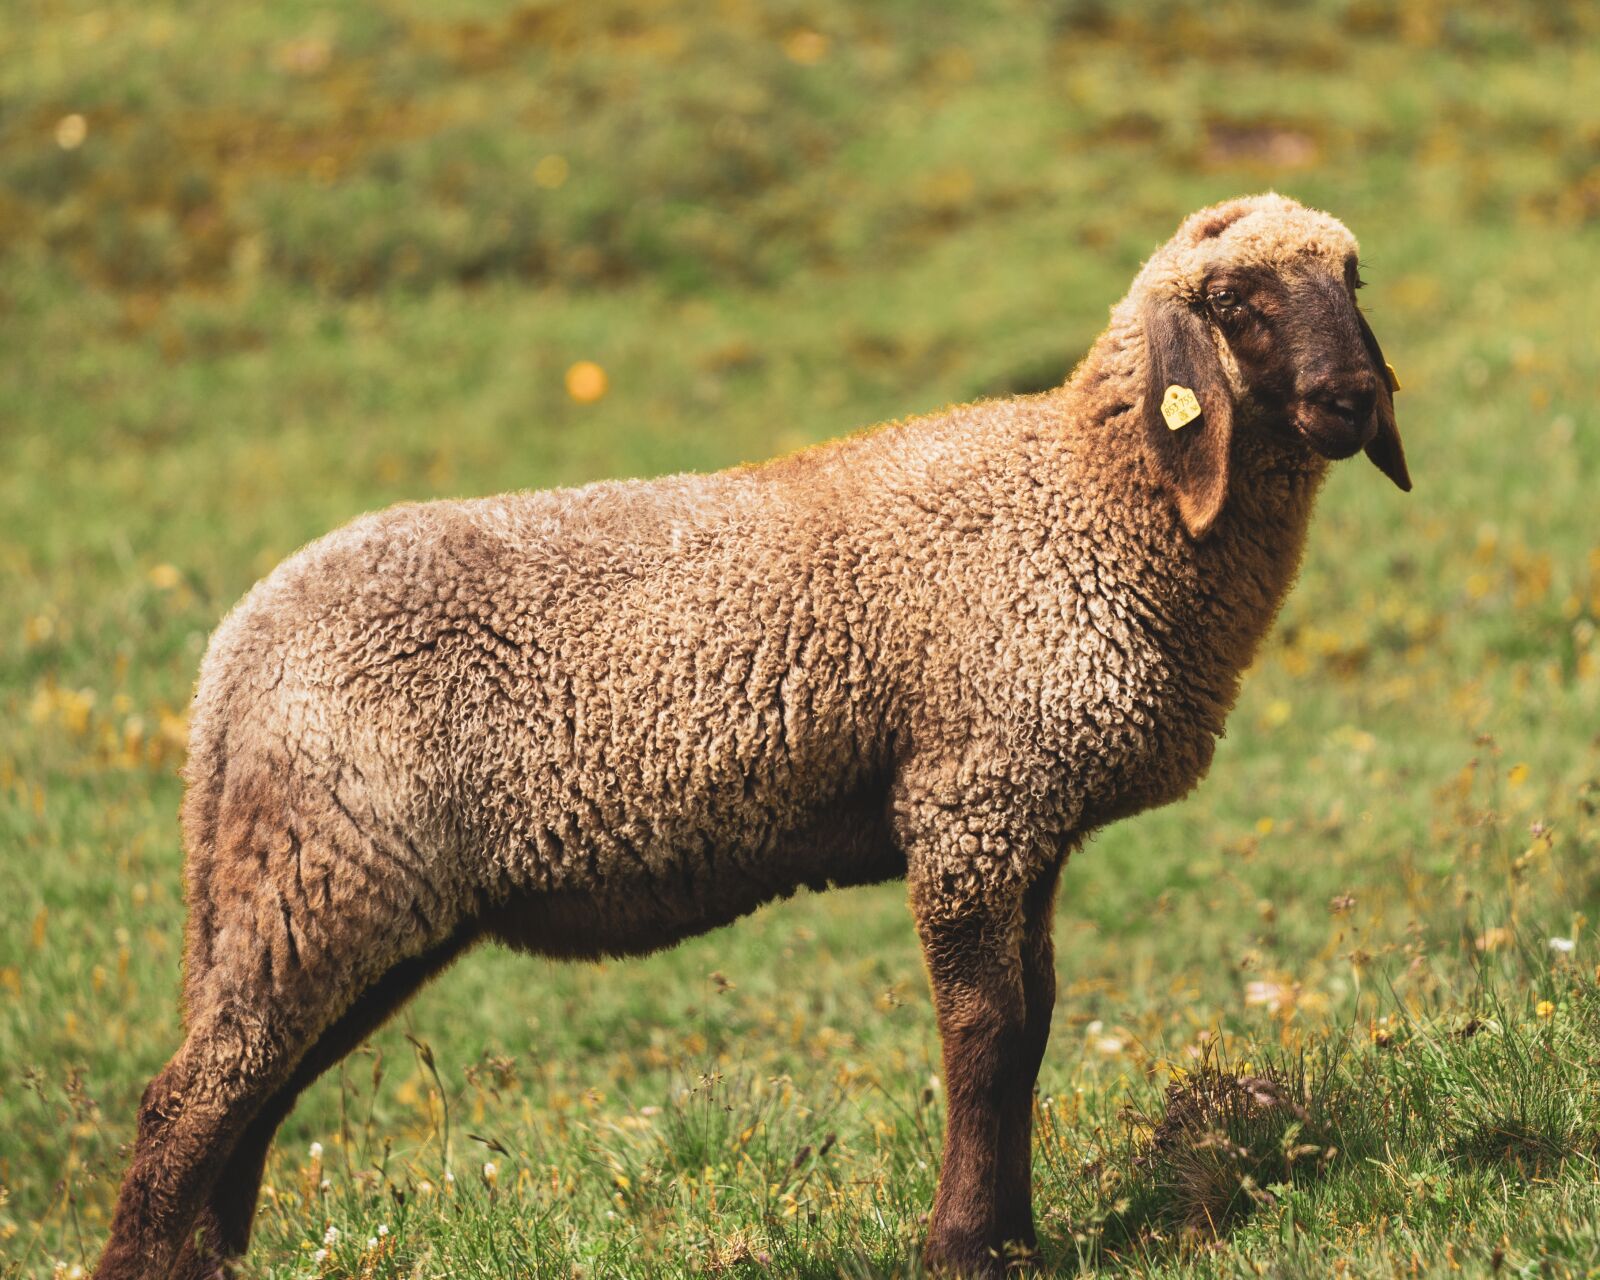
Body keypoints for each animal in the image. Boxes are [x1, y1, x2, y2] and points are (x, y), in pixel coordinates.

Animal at [93, 192, 1408, 1280]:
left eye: (1354, 277)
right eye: (1236, 303)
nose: (1353, 400)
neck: (1092, 492)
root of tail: (231, 657)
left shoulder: (1027, 819)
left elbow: (1032, 1021)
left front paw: (1017, 1239)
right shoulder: (969, 796)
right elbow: (985, 1031)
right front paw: (964, 1247)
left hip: (332, 893)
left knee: (250, 1095)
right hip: (327, 873)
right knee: (188, 1099)